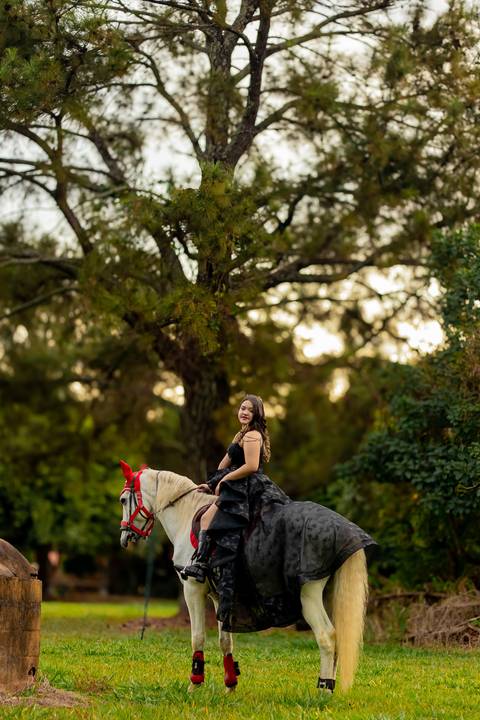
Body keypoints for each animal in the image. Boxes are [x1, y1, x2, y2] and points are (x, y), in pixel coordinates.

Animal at [118, 461, 369, 694]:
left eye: (122, 500)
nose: (125, 537)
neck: (186, 513)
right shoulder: (220, 596)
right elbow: (225, 641)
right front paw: (230, 685)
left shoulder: (193, 590)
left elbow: (197, 637)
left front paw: (194, 685)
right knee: (336, 638)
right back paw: (329, 687)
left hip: (309, 597)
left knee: (327, 637)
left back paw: (323, 691)